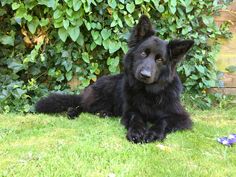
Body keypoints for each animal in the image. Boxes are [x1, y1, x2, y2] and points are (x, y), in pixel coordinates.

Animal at [35, 15, 194, 144]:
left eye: (160, 59)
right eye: (143, 53)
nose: (145, 75)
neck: (148, 93)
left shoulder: (181, 117)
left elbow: (163, 120)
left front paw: (153, 133)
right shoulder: (131, 111)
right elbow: (136, 119)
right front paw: (136, 132)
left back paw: (104, 113)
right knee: (81, 104)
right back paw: (73, 112)